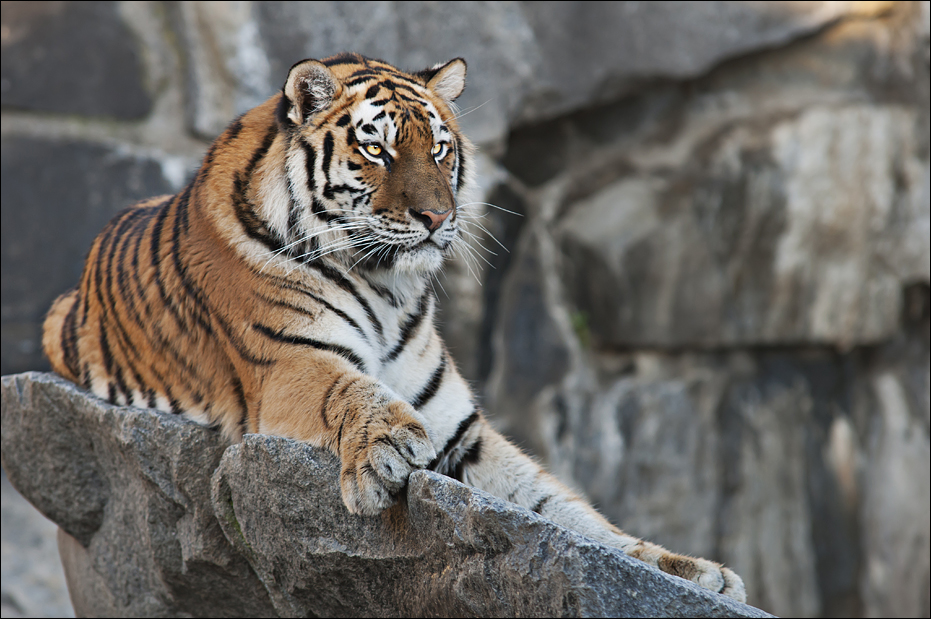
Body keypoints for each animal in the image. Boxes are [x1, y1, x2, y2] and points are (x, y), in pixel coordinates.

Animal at [42, 53, 746, 603]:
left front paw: (692, 572)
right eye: (375, 148)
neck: (388, 287)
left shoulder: (465, 434)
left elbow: (566, 510)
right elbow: (348, 388)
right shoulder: (291, 362)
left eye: (438, 148)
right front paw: (383, 450)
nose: (437, 217)